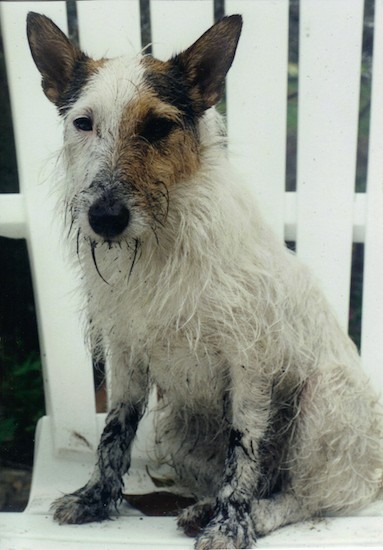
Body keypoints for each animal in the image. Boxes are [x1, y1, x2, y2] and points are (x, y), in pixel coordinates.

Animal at [27, 11, 383, 550]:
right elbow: (114, 432)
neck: (161, 246)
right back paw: (202, 506)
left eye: (157, 126)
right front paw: (95, 498)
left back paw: (254, 514)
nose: (105, 219)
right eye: (83, 123)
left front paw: (232, 524)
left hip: (323, 407)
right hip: (180, 425)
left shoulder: (250, 365)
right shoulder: (127, 354)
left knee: (302, 497)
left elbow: (245, 450)